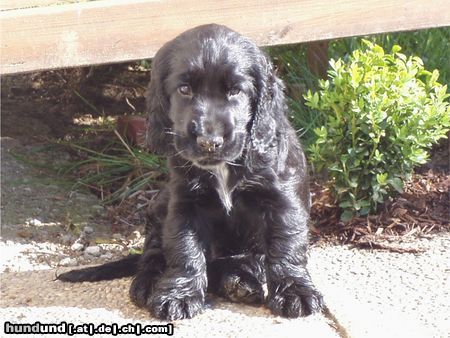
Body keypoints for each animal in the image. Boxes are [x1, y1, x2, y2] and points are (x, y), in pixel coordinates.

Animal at [58, 23, 324, 320]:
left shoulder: (283, 200)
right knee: (153, 254)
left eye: (235, 91)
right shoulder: (184, 203)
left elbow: (285, 246)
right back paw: (151, 284)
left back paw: (239, 282)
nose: (209, 141)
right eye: (184, 89)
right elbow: (184, 250)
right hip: (159, 206)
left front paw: (294, 293)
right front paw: (178, 296)